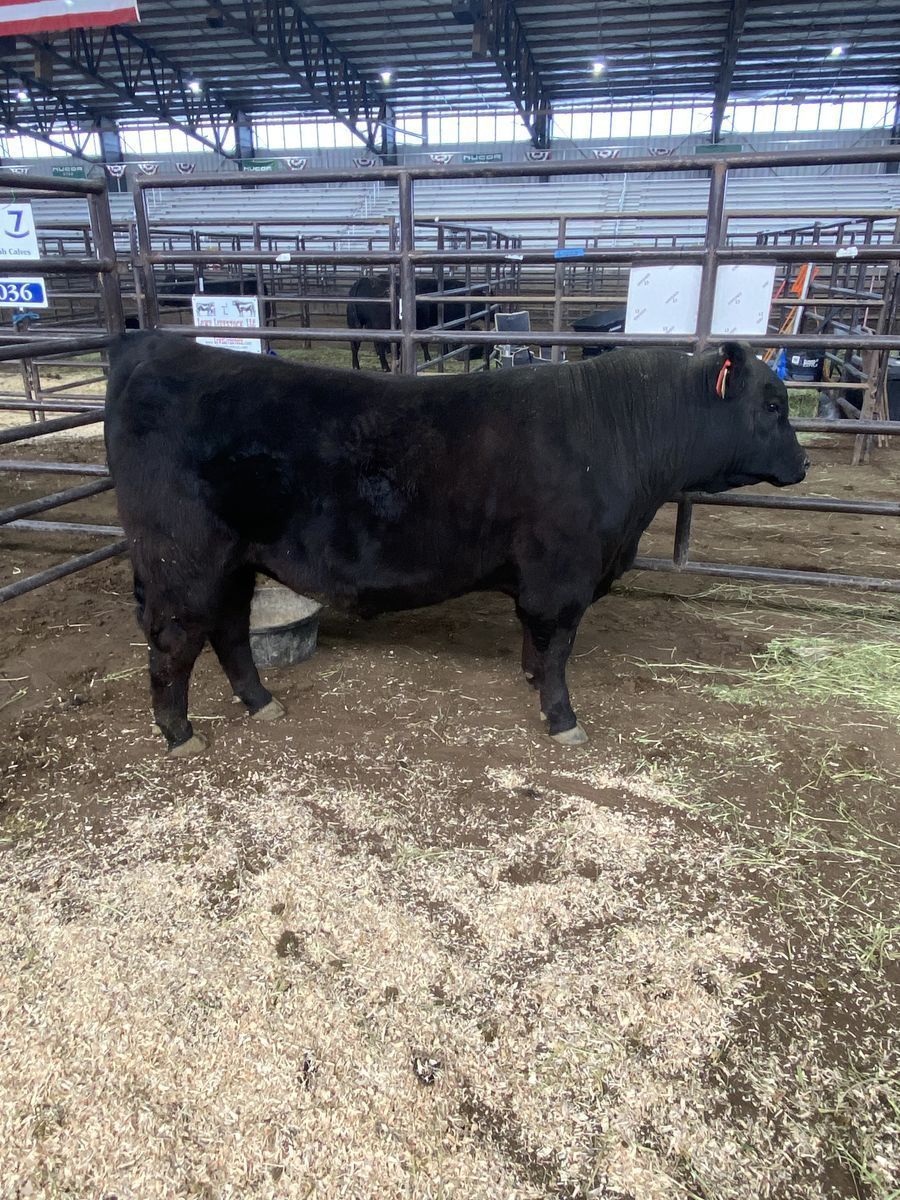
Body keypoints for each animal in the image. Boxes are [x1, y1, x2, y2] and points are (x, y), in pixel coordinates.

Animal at [104, 332, 808, 756]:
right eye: (773, 404)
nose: (803, 465)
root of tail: (159, 346)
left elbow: (537, 641)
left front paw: (532, 681)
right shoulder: (564, 573)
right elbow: (558, 644)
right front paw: (562, 719)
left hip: (233, 560)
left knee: (227, 629)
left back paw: (261, 704)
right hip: (183, 559)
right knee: (173, 643)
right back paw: (179, 734)